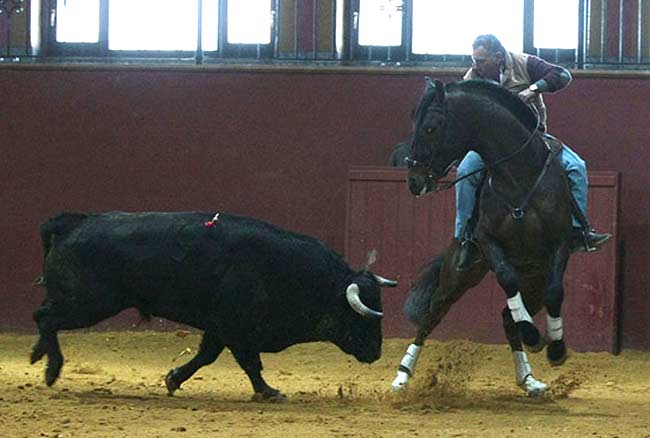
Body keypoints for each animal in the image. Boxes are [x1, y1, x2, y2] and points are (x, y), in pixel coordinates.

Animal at [31, 211, 397, 401]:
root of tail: (73, 223)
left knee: (44, 315)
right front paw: (268, 392)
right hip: (88, 304)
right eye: (362, 318)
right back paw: (50, 370)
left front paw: (173, 379)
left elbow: (206, 356)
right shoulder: (235, 327)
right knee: (45, 317)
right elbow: (250, 363)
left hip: (78, 302)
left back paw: (38, 354)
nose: (376, 352)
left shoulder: (219, 327)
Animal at [392, 78, 573, 397]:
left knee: (509, 317)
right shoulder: (488, 243)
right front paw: (533, 334)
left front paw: (555, 348)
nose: (413, 181)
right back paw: (402, 375)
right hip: (458, 276)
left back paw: (529, 378)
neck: (518, 177)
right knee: (432, 314)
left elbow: (555, 293)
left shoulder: (559, 244)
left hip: (534, 278)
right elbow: (506, 279)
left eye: (430, 128)